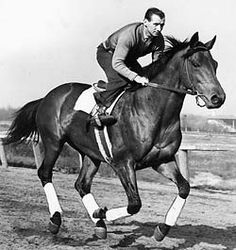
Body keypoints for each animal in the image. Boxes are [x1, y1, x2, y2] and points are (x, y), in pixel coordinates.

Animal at [4, 32, 225, 242]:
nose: (218, 98)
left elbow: (184, 188)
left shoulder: (161, 160)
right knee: (45, 173)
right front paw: (102, 213)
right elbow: (135, 203)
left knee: (82, 184)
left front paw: (161, 229)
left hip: (91, 153)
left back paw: (99, 226)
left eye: (215, 64)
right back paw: (57, 219)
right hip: (53, 142)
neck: (153, 110)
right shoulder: (123, 162)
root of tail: (47, 97)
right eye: (196, 63)